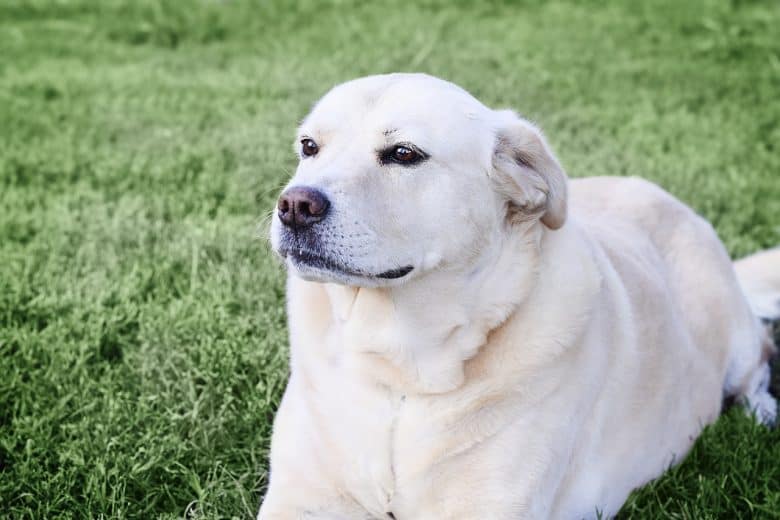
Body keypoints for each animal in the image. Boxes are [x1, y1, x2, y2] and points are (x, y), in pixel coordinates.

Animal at [258, 74, 776, 520]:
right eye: (309, 147)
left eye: (404, 153)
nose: (294, 205)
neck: (400, 368)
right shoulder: (301, 498)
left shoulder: (487, 508)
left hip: (732, 331)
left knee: (759, 361)